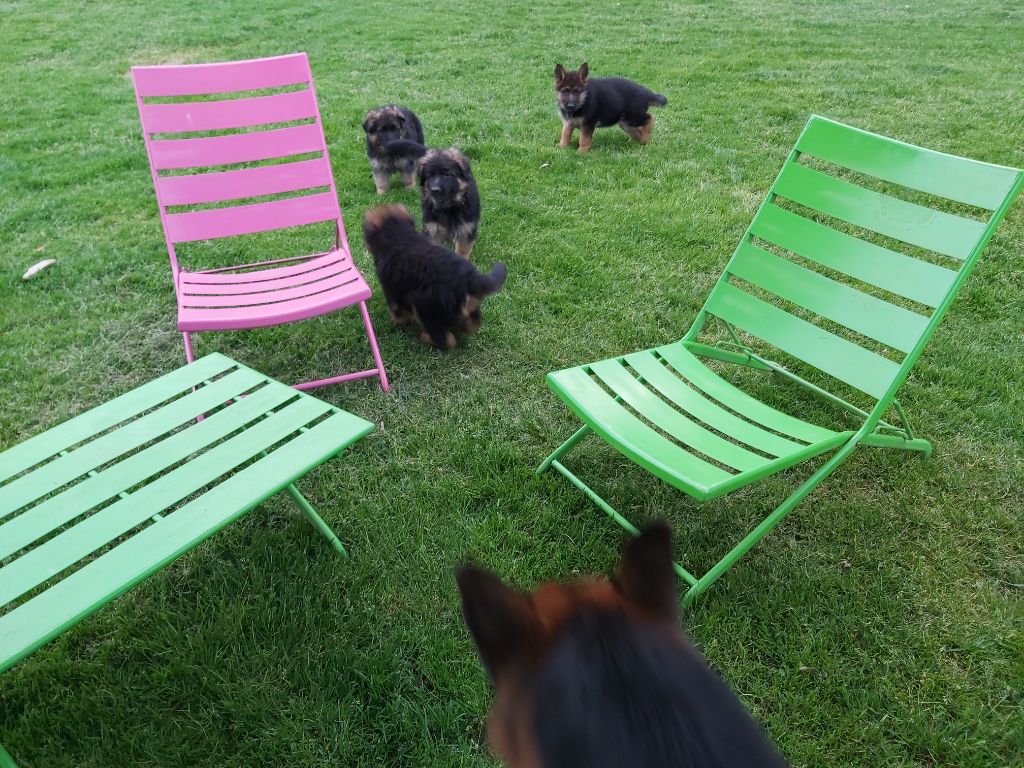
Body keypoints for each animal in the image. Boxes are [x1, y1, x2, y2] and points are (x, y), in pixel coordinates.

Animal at [362, 202, 505, 350]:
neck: (398, 235)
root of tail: (468, 278)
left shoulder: (391, 289)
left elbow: (397, 309)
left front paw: (399, 322)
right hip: (467, 305)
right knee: (473, 324)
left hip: (426, 307)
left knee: (445, 339)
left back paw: (426, 337)